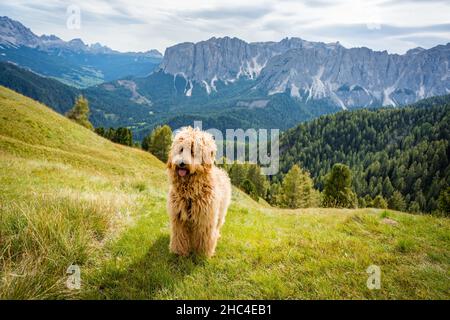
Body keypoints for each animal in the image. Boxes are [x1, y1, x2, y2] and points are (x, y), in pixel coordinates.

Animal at [168, 126, 232, 256]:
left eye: (193, 151)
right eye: (181, 149)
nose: (181, 163)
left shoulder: (206, 218)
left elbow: (204, 237)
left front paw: (202, 253)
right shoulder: (178, 217)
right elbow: (179, 235)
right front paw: (179, 251)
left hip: (220, 214)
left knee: (217, 227)